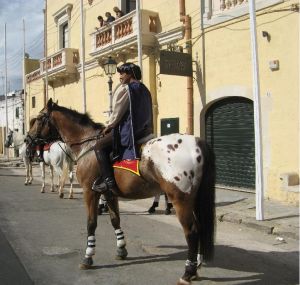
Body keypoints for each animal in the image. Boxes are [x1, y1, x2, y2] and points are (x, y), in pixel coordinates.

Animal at [27, 98, 216, 284]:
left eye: (39, 118)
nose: (28, 140)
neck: (88, 144)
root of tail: (197, 142)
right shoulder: (110, 193)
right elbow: (115, 220)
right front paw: (121, 249)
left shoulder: (90, 192)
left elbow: (91, 223)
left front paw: (88, 256)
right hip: (193, 199)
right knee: (200, 228)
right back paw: (197, 263)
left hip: (180, 199)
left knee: (192, 231)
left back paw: (188, 272)